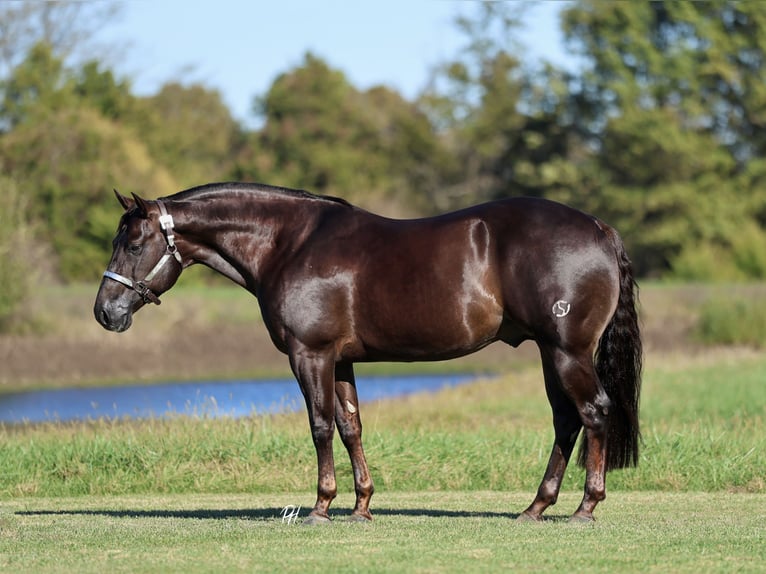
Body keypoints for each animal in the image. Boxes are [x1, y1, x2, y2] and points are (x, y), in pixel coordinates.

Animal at [93, 182, 642, 524]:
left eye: (134, 243)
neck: (290, 243)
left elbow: (319, 426)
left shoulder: (309, 354)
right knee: (566, 421)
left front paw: (320, 507)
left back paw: (585, 508)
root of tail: (599, 228)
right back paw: (536, 507)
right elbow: (350, 425)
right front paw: (361, 506)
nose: (105, 311)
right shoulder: (341, 360)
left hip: (567, 351)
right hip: (552, 353)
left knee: (593, 412)